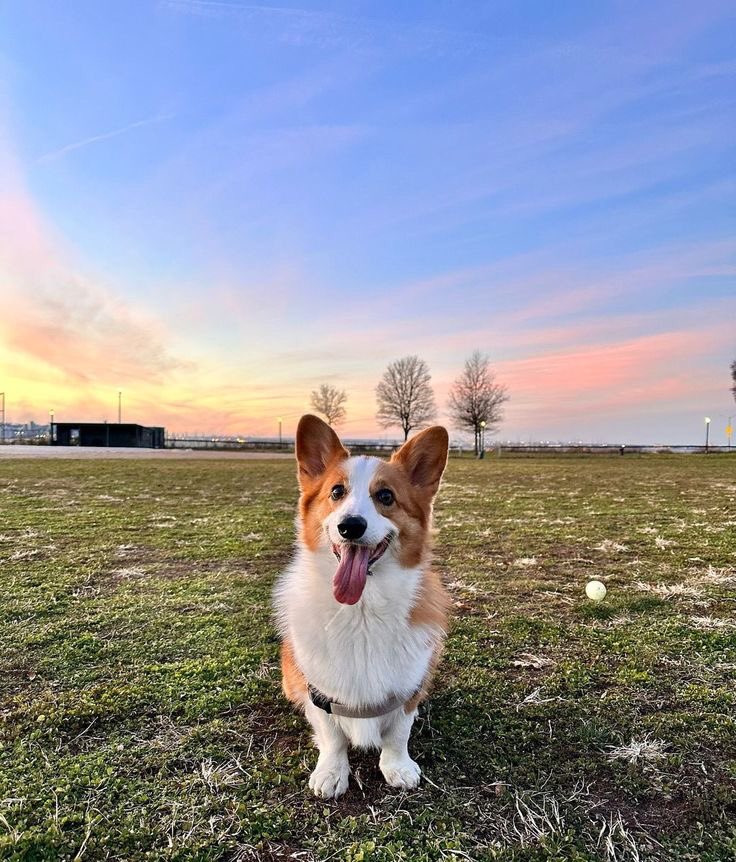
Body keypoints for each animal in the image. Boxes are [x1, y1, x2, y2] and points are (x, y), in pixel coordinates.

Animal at [274, 416, 448, 800]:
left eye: (386, 497)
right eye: (337, 492)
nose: (350, 526)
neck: (362, 610)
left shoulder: (408, 686)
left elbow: (398, 732)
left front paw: (398, 767)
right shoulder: (319, 692)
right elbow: (332, 736)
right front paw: (331, 772)